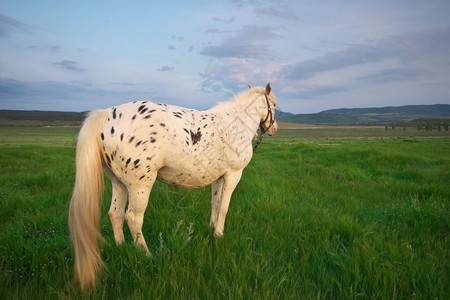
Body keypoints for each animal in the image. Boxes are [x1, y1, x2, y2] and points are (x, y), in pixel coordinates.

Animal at [67, 83, 278, 290]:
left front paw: (211, 228)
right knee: (133, 218)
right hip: (140, 185)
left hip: (118, 183)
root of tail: (107, 114)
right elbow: (224, 207)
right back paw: (147, 255)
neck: (236, 122)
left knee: (115, 214)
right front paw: (219, 234)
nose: (275, 128)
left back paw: (121, 246)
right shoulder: (234, 174)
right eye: (274, 105)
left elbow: (216, 204)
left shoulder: (219, 177)